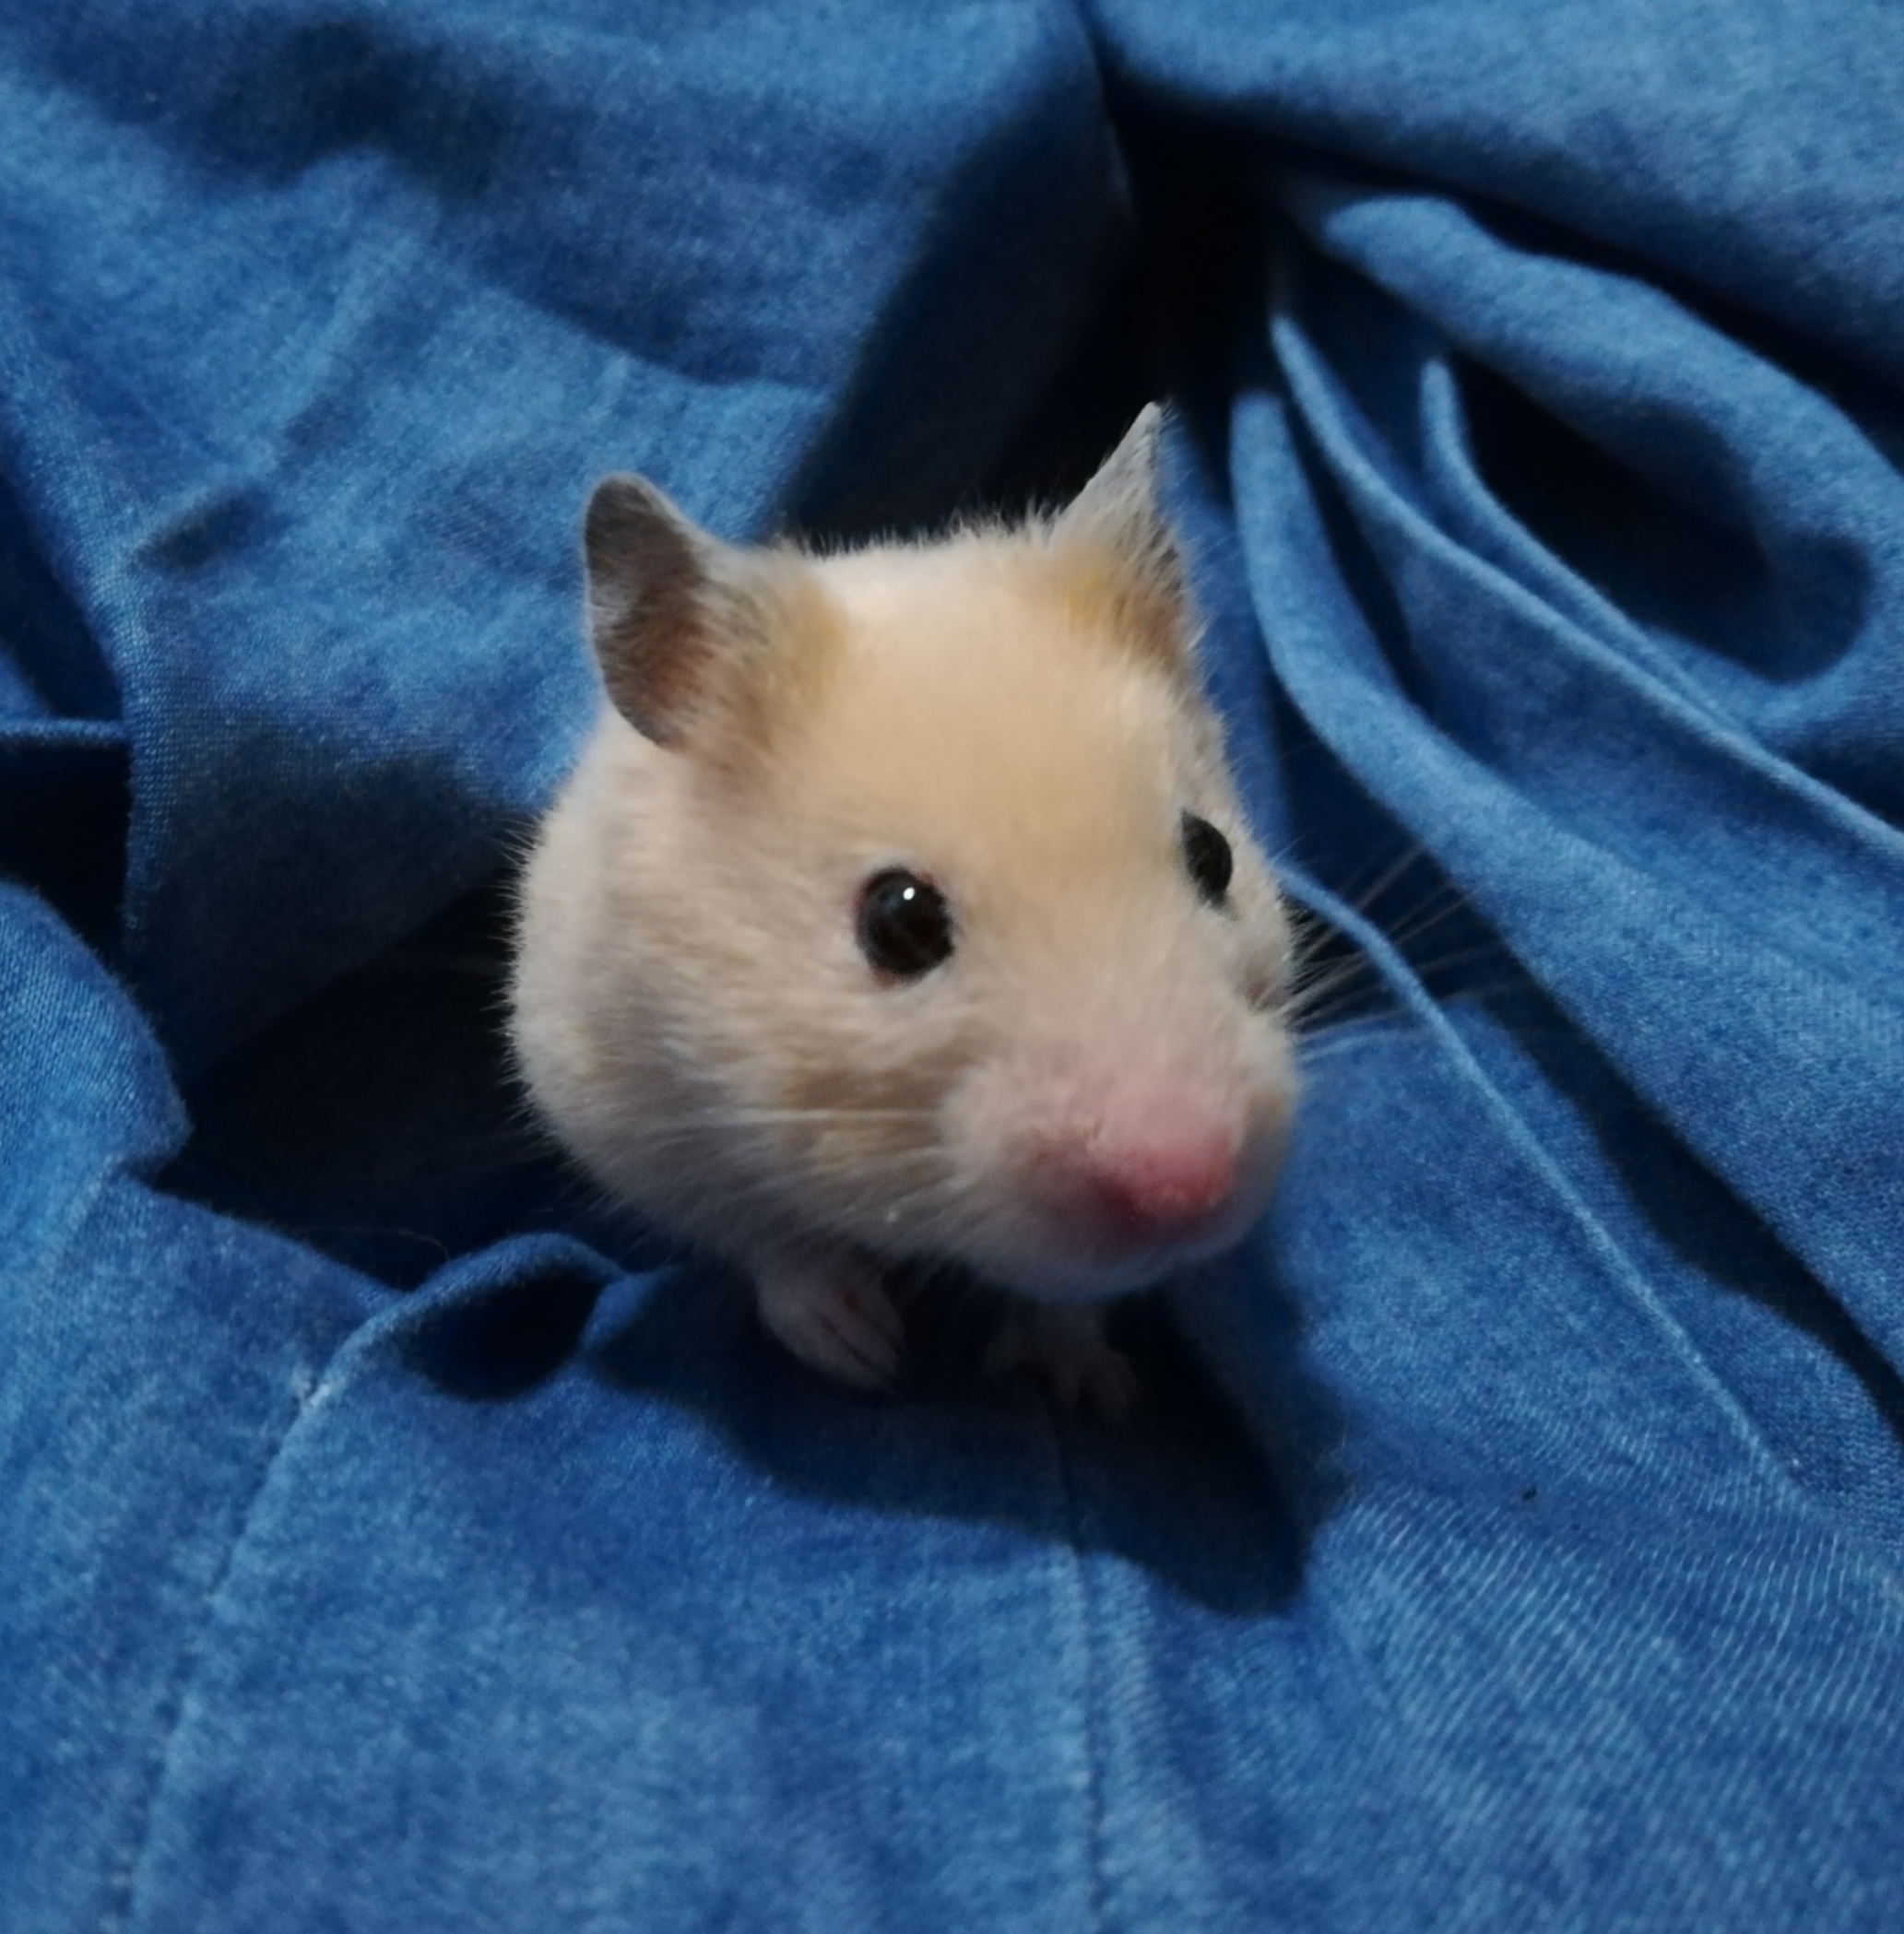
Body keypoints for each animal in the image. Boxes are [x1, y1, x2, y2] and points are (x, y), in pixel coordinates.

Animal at [508, 407, 1298, 1412]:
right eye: (899, 921)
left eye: (1213, 854)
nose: (1187, 1189)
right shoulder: (629, 1115)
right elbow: (767, 1236)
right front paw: (862, 1353)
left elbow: (1064, 1295)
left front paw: (1092, 1391)